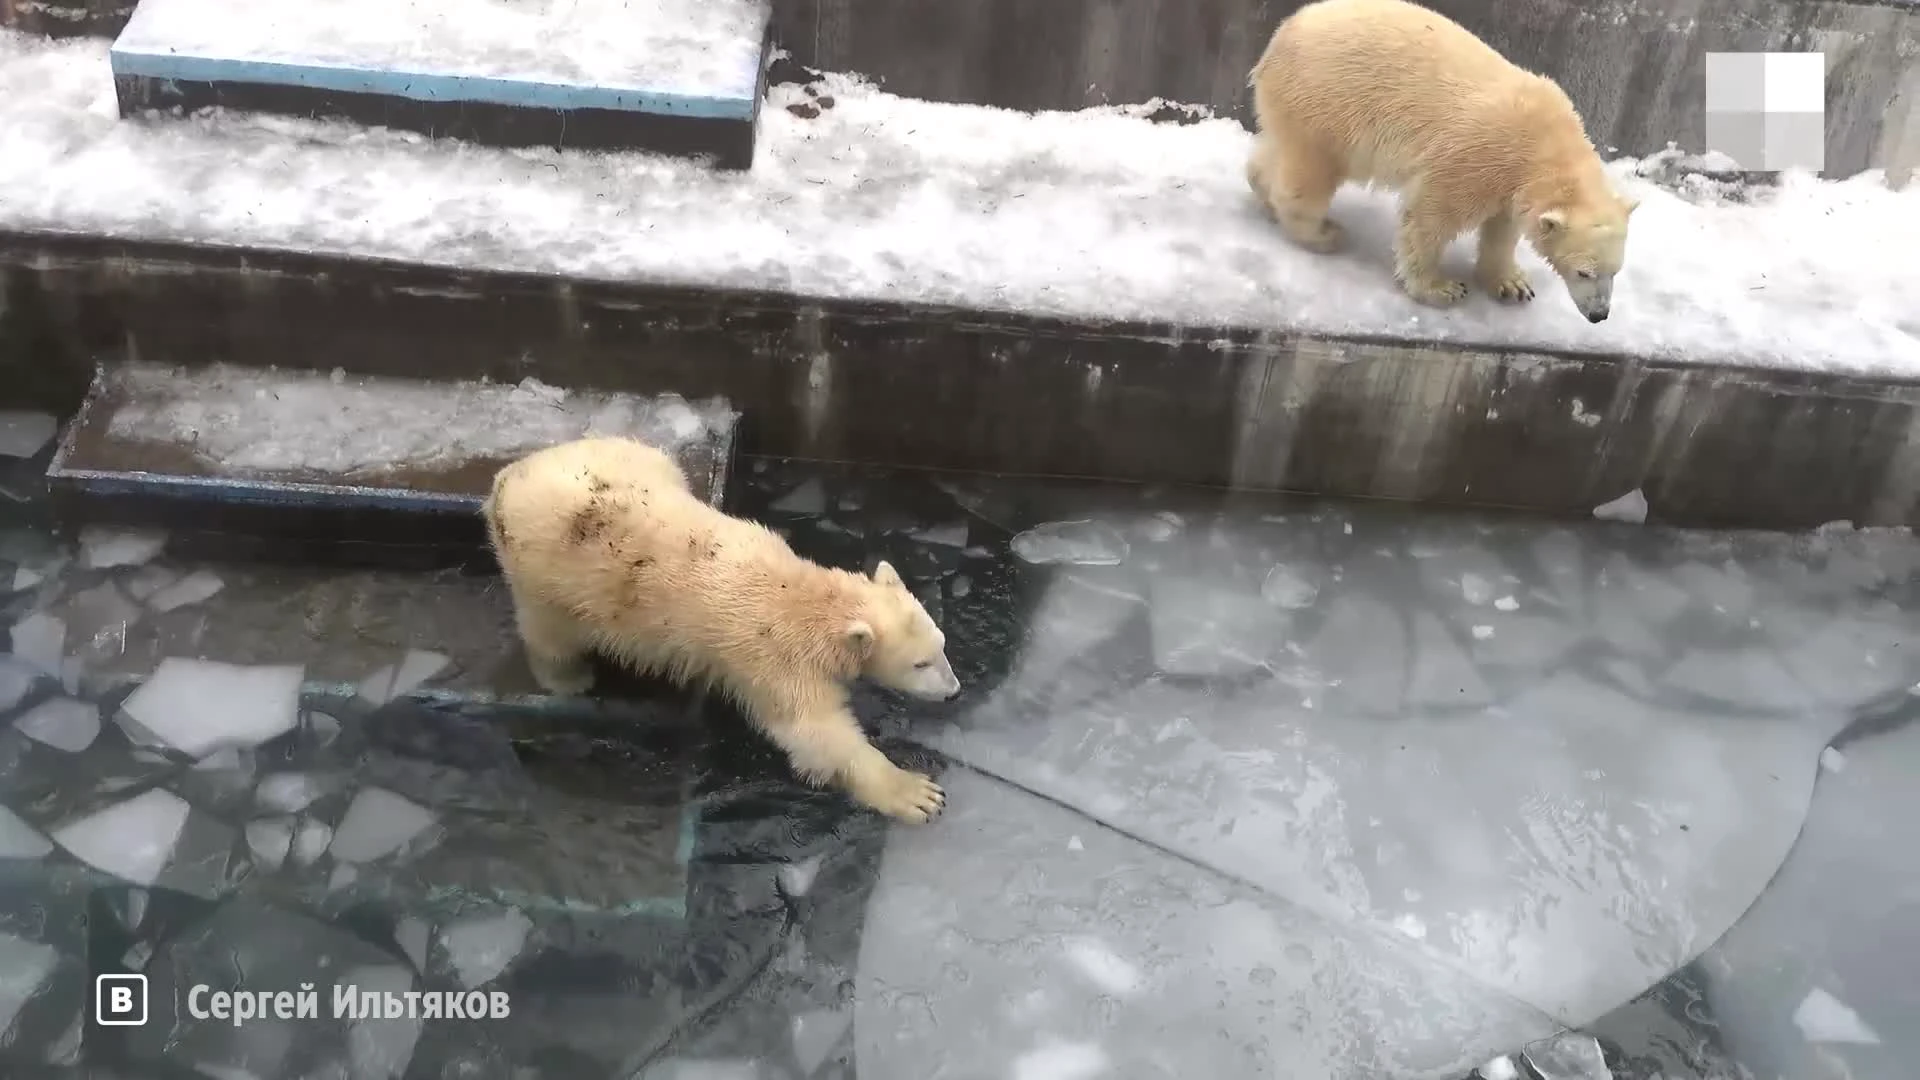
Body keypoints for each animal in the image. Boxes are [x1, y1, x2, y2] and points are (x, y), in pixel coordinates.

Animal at [480, 438, 960, 822]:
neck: (800, 597)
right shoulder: (772, 659)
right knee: (550, 634)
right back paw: (571, 679)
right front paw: (914, 793)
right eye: (919, 664)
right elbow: (815, 733)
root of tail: (510, 473)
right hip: (547, 575)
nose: (954, 691)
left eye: (942, 645)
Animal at [1251, 0, 1643, 319]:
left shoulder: (1510, 184)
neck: (1546, 143)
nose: (1599, 315)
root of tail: (1282, 32)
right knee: (1311, 174)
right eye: (1584, 272)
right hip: (1327, 105)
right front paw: (1441, 288)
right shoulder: (1477, 159)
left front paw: (1512, 284)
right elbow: (1431, 216)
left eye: (1616, 271)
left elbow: (1503, 229)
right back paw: (1322, 233)